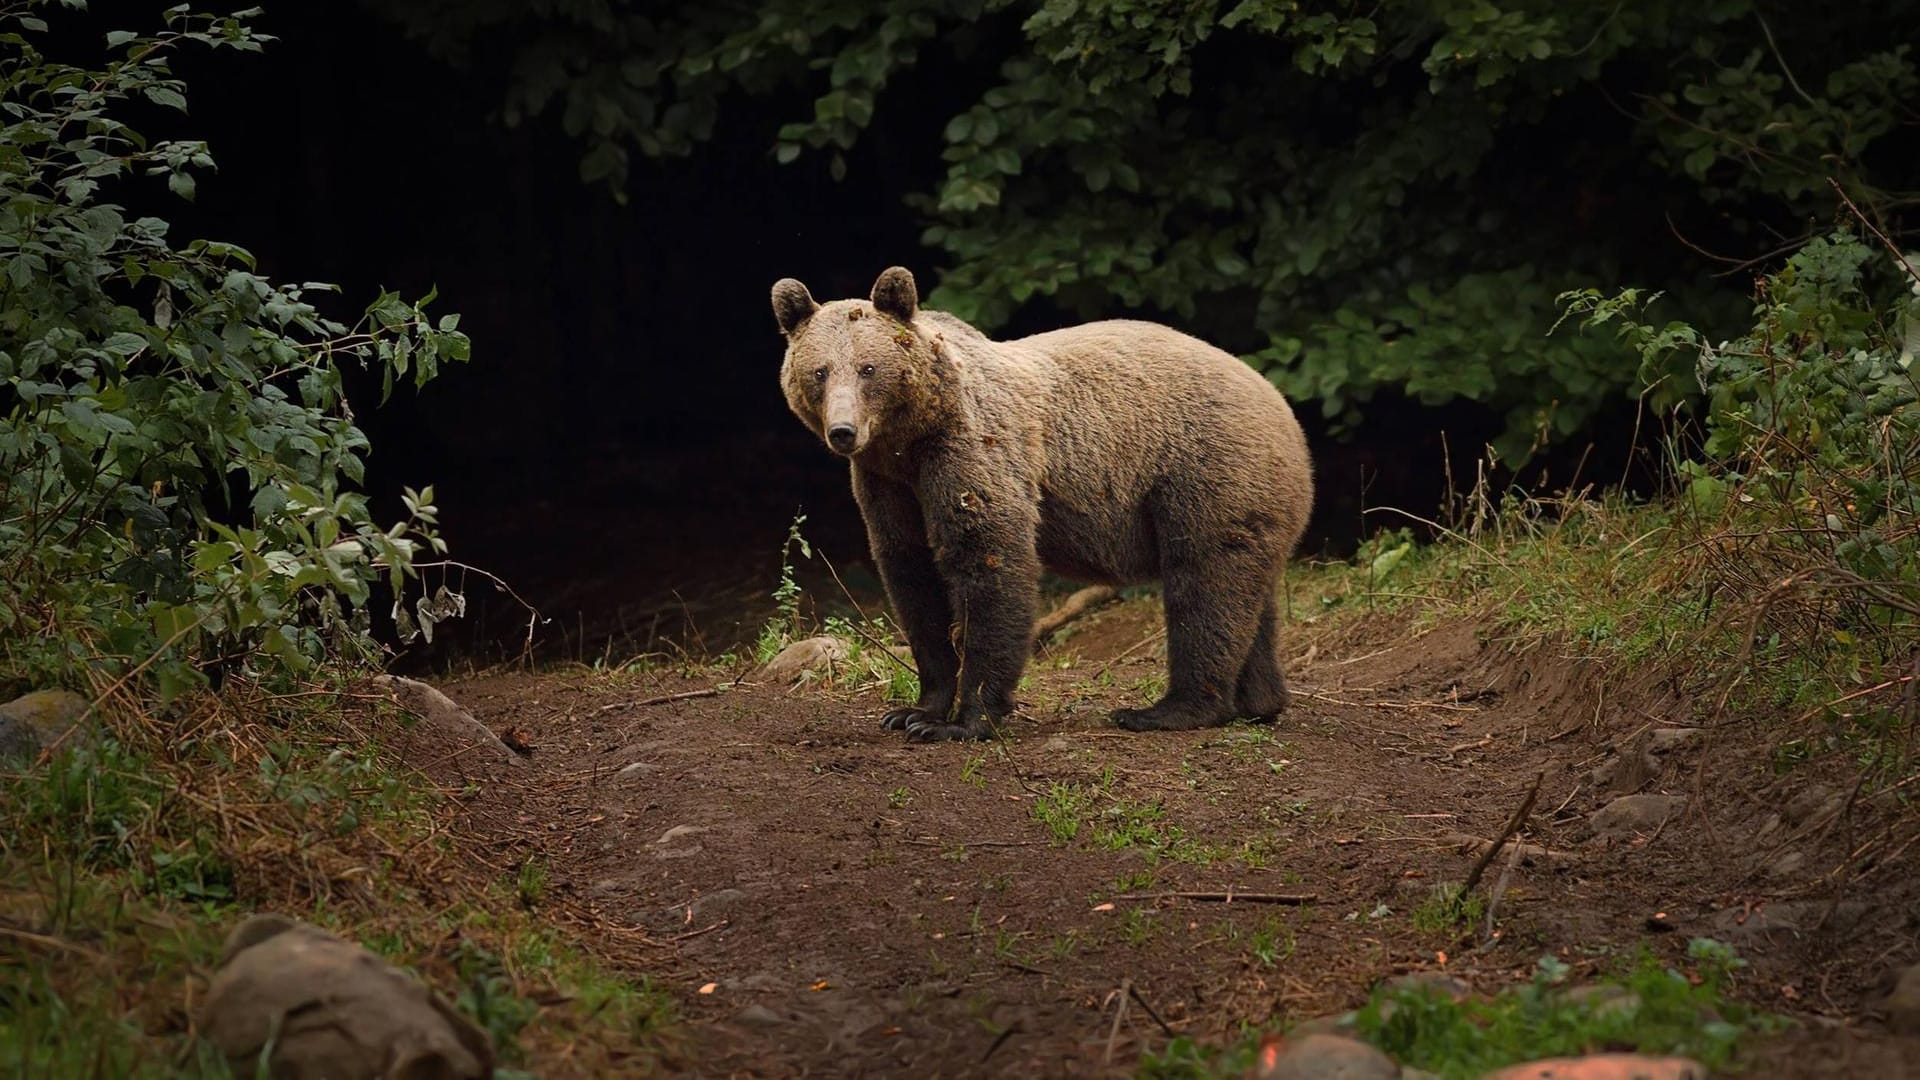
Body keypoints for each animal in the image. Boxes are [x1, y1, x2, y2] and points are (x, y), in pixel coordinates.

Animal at [771, 267, 1313, 737]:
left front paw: (963, 720)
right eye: (819, 371)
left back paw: (1167, 709)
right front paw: (913, 710)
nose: (844, 431)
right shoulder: (888, 483)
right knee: (1247, 593)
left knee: (1203, 584)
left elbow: (988, 559)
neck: (910, 438)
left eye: (868, 368)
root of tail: (1280, 404)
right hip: (1249, 497)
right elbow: (911, 574)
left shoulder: (971, 450)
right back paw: (1259, 701)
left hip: (1205, 469)